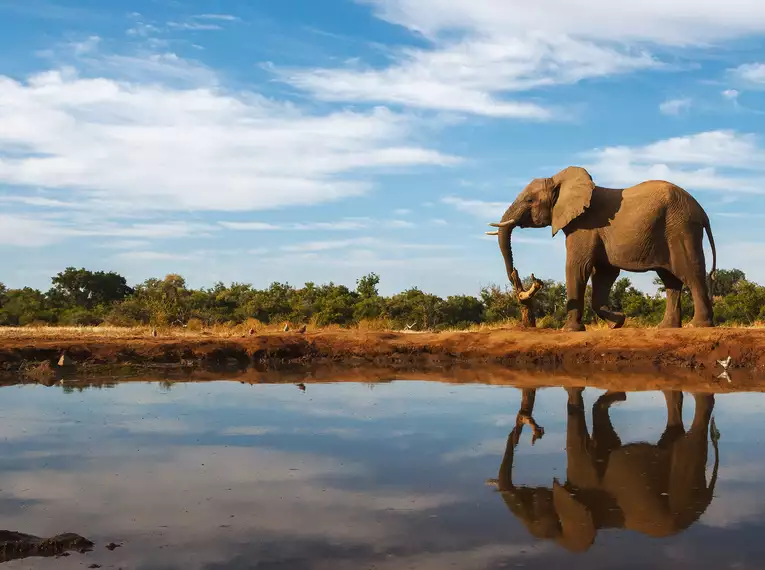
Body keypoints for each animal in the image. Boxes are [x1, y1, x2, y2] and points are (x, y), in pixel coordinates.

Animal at [486, 386, 720, 552]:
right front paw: (619, 396)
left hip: (683, 486)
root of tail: (705, 500)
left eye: (532, 513)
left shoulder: (584, 480)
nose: (533, 430)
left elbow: (578, 443)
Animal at [490, 165, 716, 328]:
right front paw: (617, 322)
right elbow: (604, 274)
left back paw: (697, 326)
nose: (519, 278)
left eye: (529, 200)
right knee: (671, 280)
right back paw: (666, 328)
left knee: (691, 273)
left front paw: (570, 330)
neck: (559, 180)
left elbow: (578, 268)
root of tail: (702, 212)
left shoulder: (584, 226)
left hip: (681, 229)